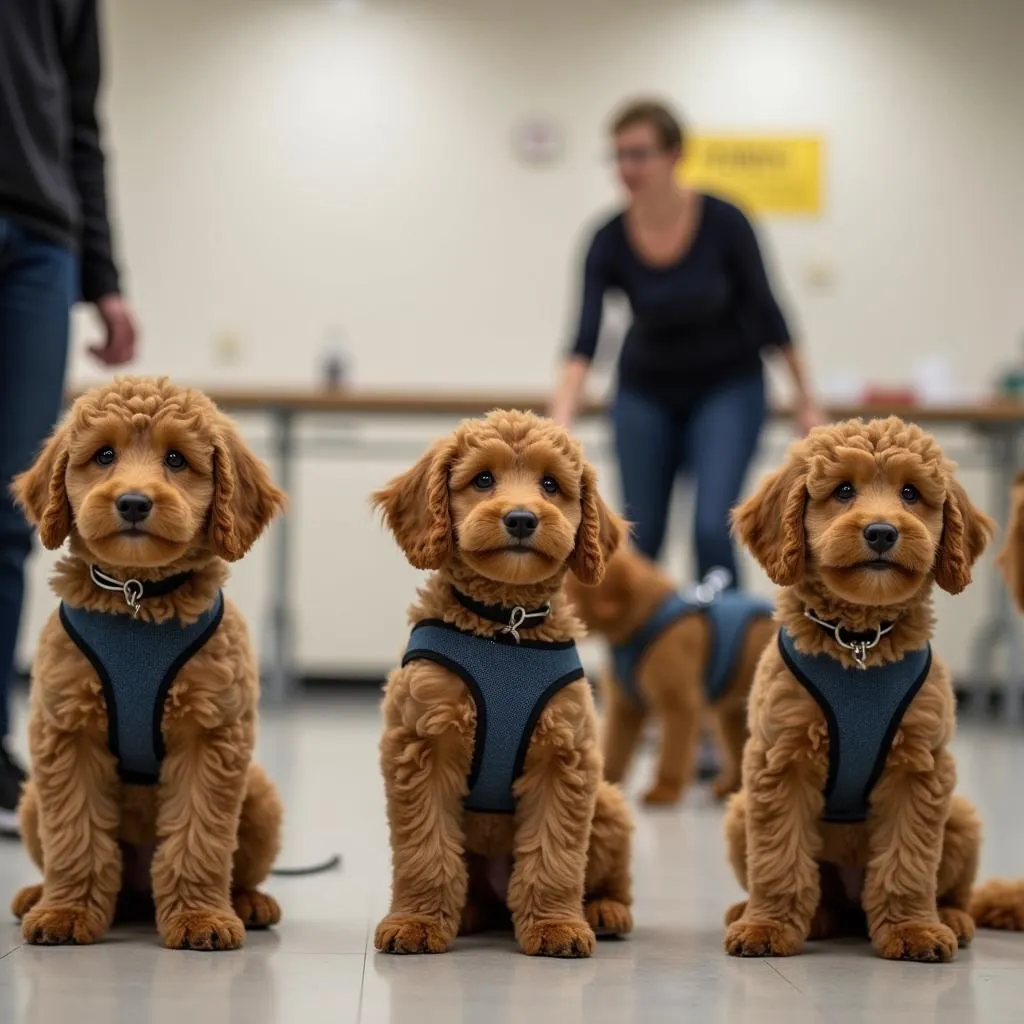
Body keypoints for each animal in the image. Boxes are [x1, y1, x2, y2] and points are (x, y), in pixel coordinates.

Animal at [9, 376, 286, 950]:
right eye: (104, 455)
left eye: (176, 459)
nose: (133, 503)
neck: (138, 595)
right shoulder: (68, 732)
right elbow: (75, 836)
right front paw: (67, 911)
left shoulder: (210, 735)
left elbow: (198, 839)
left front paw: (200, 918)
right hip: (30, 802)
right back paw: (37, 895)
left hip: (261, 795)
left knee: (239, 869)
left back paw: (248, 902)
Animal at [374, 407, 630, 958]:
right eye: (483, 480)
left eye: (551, 485)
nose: (521, 519)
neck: (504, 626)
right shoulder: (420, 745)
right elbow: (426, 850)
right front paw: (416, 922)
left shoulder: (565, 756)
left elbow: (555, 856)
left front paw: (556, 926)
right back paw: (467, 914)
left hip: (608, 803)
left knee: (612, 880)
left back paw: (604, 909)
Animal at [565, 548, 770, 802]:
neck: (645, 619)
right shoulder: (625, 706)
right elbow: (615, 747)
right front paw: (606, 784)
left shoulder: (679, 705)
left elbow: (673, 752)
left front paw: (665, 789)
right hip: (733, 713)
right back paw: (731, 788)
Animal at [720, 413, 991, 958]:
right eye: (843, 490)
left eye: (911, 493)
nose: (882, 532)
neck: (859, 640)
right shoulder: (780, 759)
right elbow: (778, 860)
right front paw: (767, 927)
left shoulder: (920, 766)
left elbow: (909, 862)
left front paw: (913, 930)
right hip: (740, 811)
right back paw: (781, 915)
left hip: (961, 817)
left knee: (952, 889)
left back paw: (951, 917)